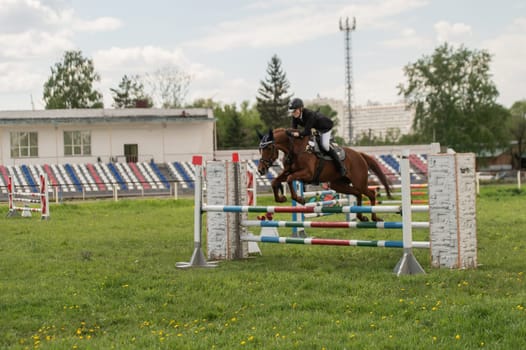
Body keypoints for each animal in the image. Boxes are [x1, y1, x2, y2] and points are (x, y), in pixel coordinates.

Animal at [258, 129, 394, 221]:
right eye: (260, 149)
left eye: (269, 148)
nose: (260, 170)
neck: (295, 149)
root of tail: (360, 155)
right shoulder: (288, 172)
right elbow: (275, 181)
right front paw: (281, 199)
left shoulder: (307, 174)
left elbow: (290, 179)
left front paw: (300, 199)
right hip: (338, 185)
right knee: (357, 193)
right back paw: (361, 216)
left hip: (359, 182)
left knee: (371, 194)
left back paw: (375, 218)